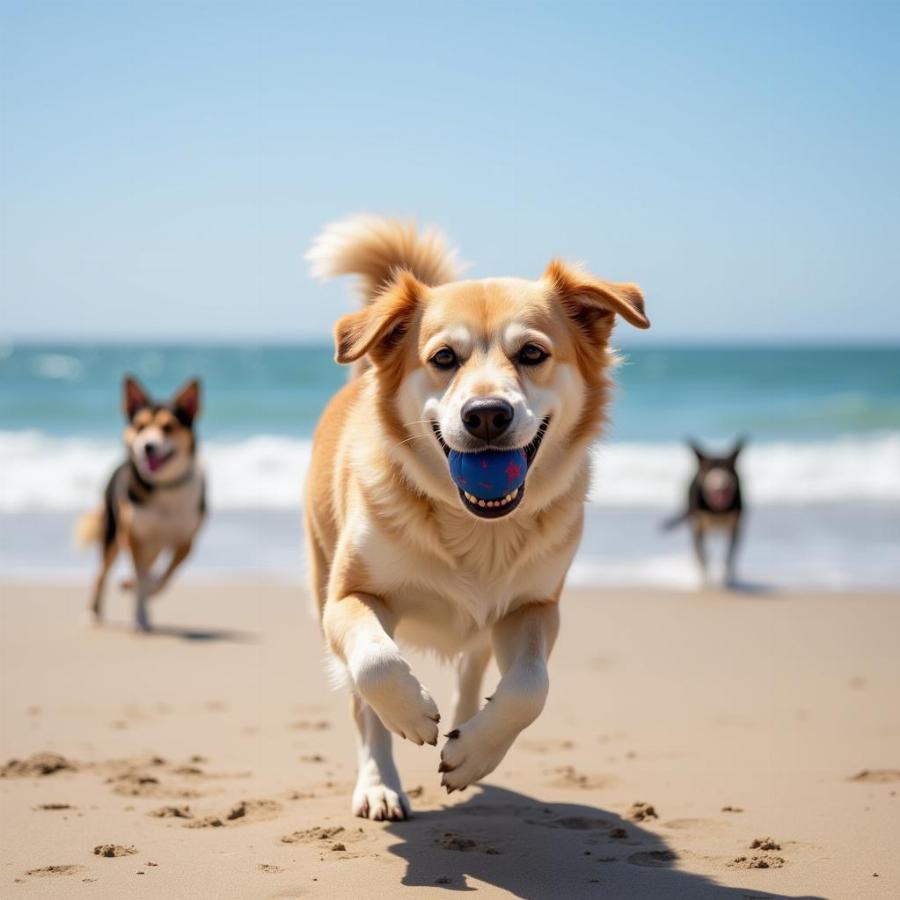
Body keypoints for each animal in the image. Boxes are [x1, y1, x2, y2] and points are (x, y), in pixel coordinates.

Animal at [76, 376, 205, 628]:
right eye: (140, 427)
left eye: (168, 427)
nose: (148, 446)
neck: (165, 488)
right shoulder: (132, 536)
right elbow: (141, 580)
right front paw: (141, 617)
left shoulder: (186, 542)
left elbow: (164, 578)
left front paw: (147, 589)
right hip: (112, 536)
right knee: (101, 575)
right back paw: (93, 611)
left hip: (153, 546)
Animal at [664, 438, 748, 592]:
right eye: (709, 468)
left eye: (728, 468)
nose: (721, 484)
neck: (717, 510)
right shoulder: (698, 528)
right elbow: (704, 556)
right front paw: (705, 582)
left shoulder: (735, 528)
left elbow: (729, 556)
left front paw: (727, 579)